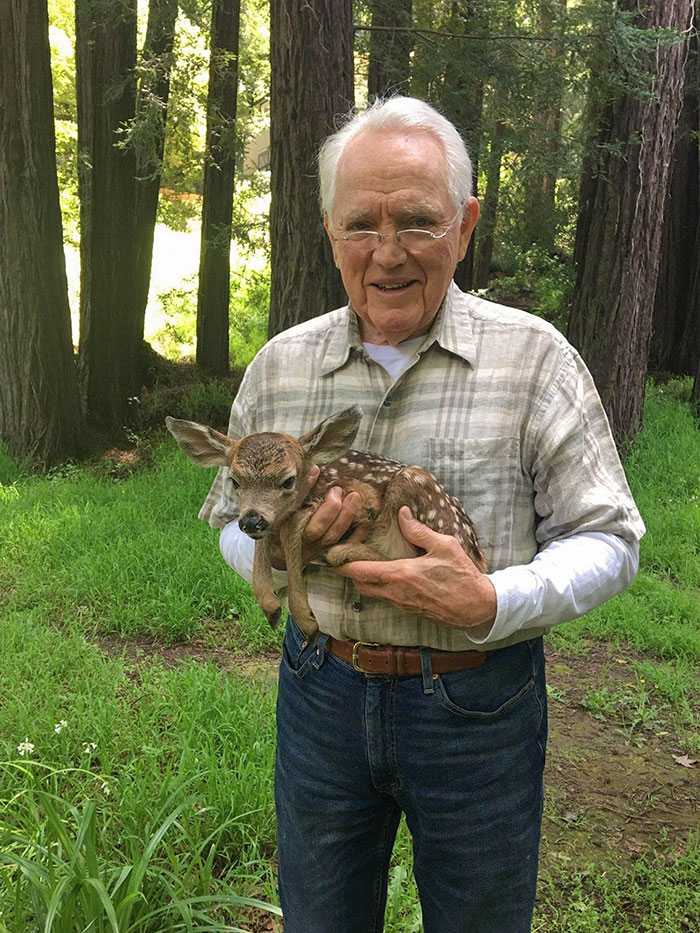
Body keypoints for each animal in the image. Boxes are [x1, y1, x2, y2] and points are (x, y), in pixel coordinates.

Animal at [166, 406, 486, 644]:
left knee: (411, 557)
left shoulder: (360, 499)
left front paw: (306, 620)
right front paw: (270, 607)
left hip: (414, 488)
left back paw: (340, 553)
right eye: (234, 480)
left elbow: (290, 528)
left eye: (288, 480)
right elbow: (273, 535)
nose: (252, 520)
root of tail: (477, 554)